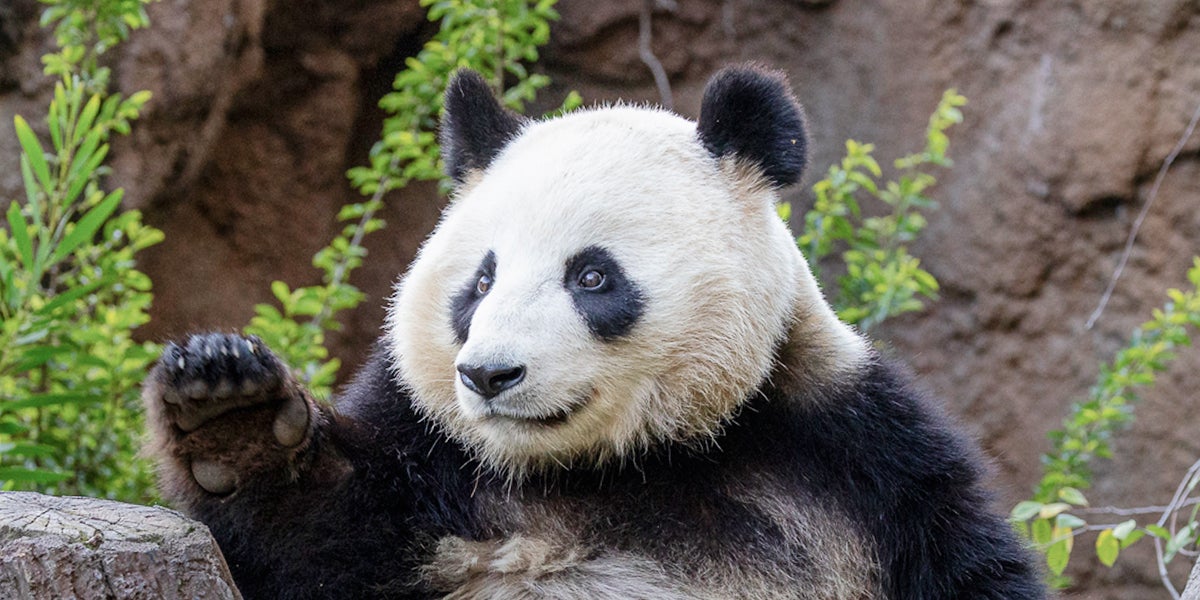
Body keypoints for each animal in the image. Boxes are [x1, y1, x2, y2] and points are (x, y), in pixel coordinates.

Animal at [143, 65, 1045, 599]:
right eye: (481, 281)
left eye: (592, 276)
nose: (489, 376)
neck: (614, 468)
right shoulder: (430, 465)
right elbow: (310, 539)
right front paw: (230, 410)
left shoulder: (859, 463)